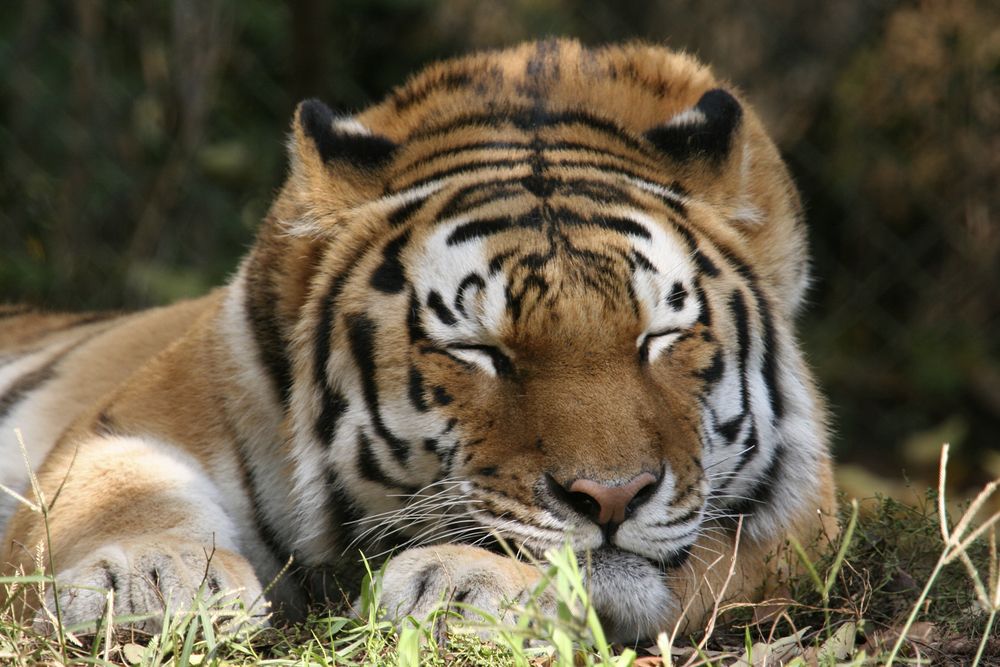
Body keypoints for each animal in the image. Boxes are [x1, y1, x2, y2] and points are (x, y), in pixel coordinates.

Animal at [0, 39, 836, 642]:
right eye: (479, 350)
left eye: (659, 336)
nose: (612, 496)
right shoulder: (134, 417)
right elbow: (118, 497)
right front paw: (151, 581)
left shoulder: (792, 530)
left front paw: (470, 587)